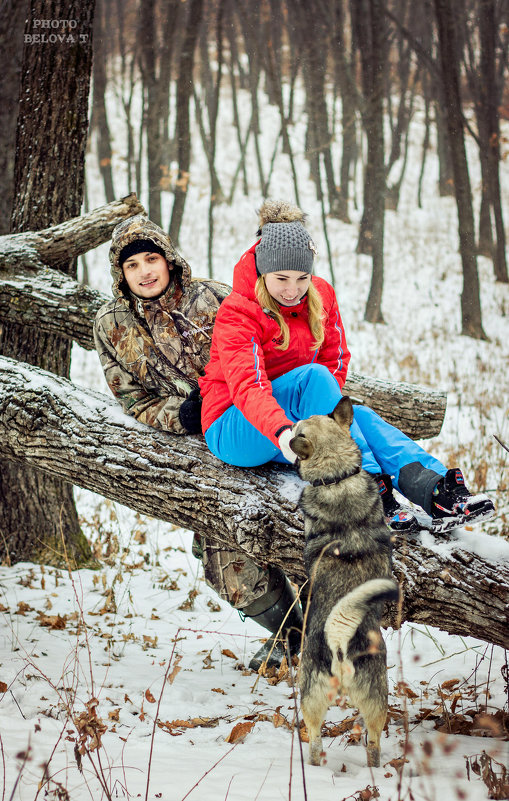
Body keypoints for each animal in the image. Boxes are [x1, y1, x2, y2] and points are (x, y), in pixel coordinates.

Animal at [290, 396, 400, 764]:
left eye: (298, 427)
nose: (290, 420)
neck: (337, 478)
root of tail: (339, 641)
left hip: (314, 693)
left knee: (321, 738)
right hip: (369, 697)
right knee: (367, 741)